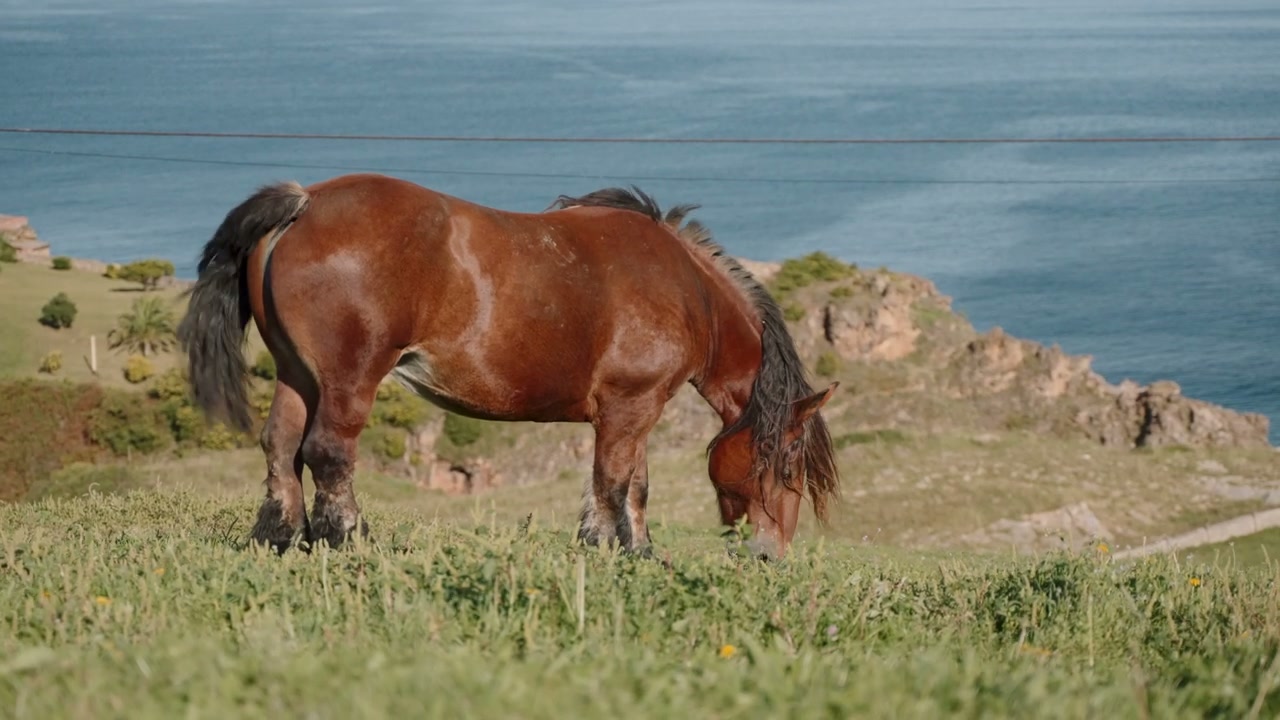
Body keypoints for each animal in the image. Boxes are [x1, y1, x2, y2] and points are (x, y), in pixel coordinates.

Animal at [176, 172, 840, 559]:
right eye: (783, 461)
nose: (770, 554)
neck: (685, 289)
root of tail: (305, 202)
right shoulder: (629, 407)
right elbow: (612, 481)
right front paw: (602, 548)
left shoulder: (636, 409)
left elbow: (635, 484)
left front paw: (638, 552)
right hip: (348, 379)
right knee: (328, 453)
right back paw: (349, 540)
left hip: (297, 375)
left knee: (280, 447)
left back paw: (280, 538)